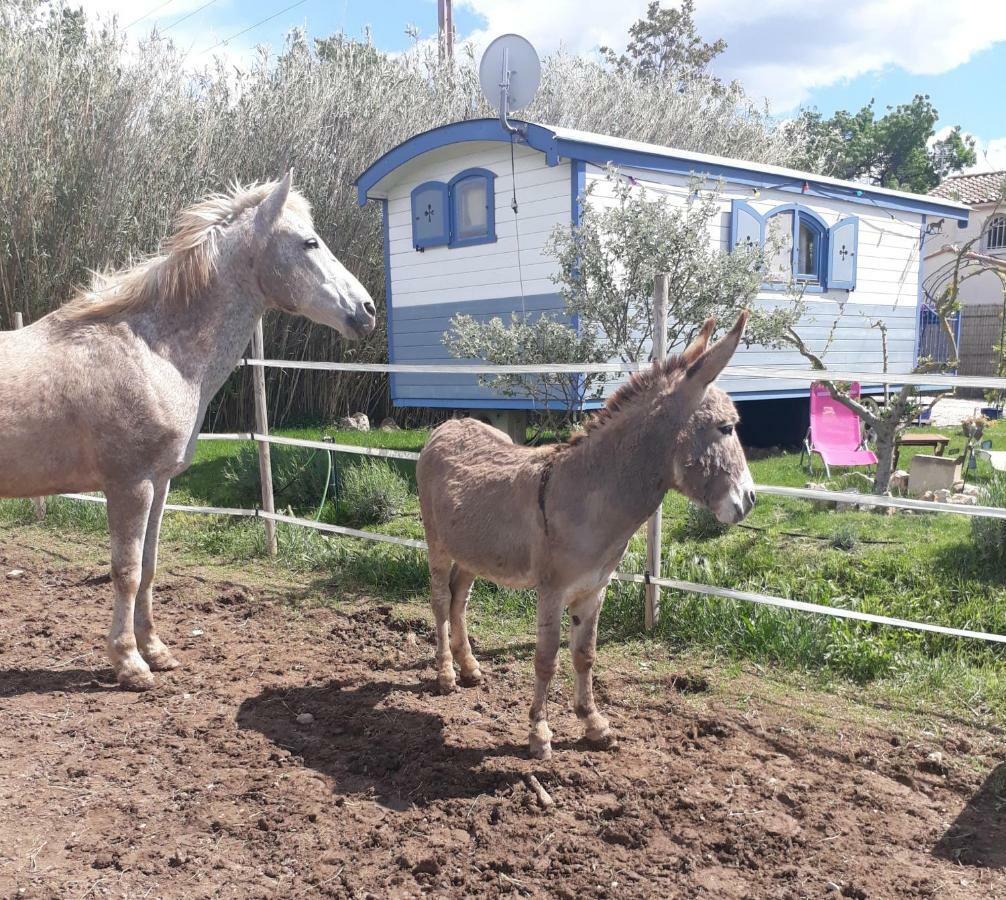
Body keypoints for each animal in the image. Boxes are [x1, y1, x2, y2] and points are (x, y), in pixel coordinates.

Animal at [0, 172, 378, 691]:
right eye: (309, 242)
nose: (367, 309)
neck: (154, 351)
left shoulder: (159, 483)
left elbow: (150, 566)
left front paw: (156, 651)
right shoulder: (130, 485)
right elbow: (126, 570)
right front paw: (129, 663)